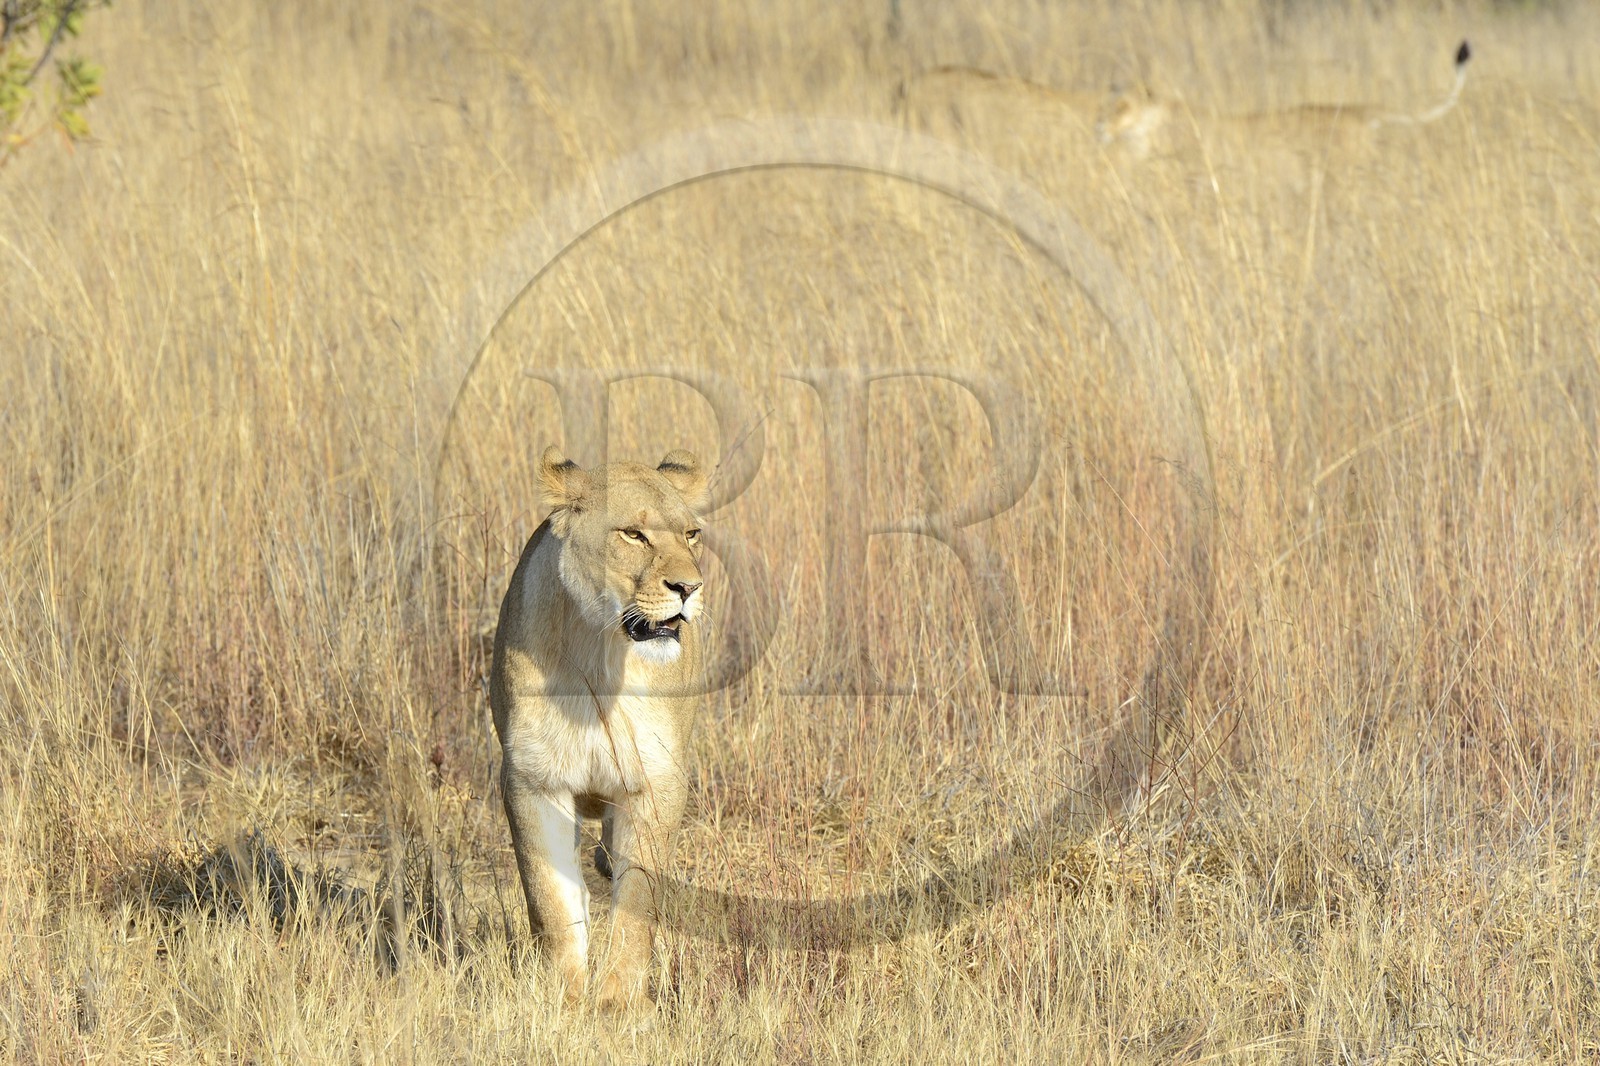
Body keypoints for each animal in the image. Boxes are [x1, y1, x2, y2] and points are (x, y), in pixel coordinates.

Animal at [489, 446, 710, 1010]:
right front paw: (565, 997)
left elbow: (638, 899)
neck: (600, 652)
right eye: (633, 534)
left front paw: (617, 1001)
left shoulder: (657, 781)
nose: (689, 587)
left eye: (691, 534)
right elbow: (550, 897)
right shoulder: (532, 779)